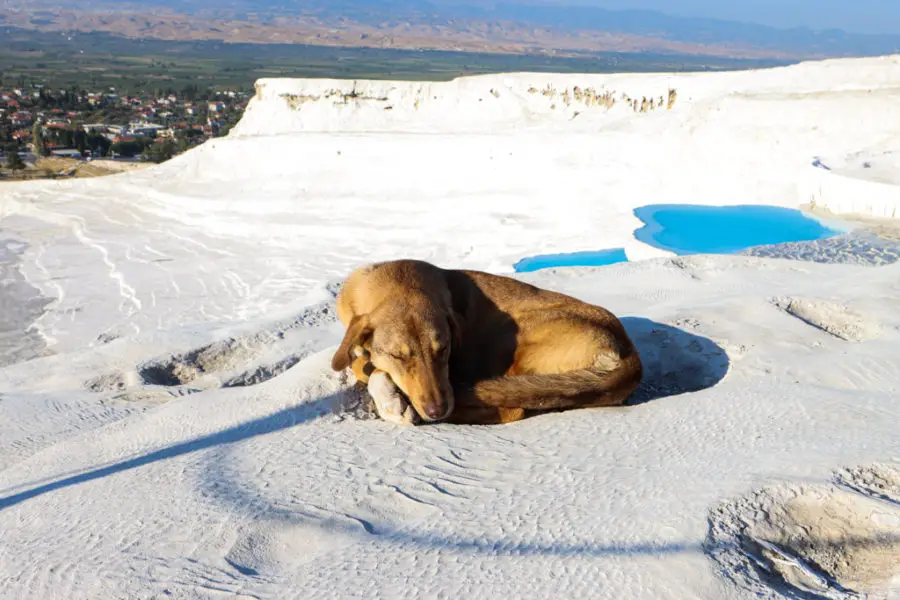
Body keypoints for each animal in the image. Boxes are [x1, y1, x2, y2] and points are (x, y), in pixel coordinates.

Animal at [334, 260, 644, 424]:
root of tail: (630, 354)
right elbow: (360, 362)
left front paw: (392, 400)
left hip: (513, 334)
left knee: (512, 408)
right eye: (398, 357)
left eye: (443, 350)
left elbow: (366, 367)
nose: (437, 410)